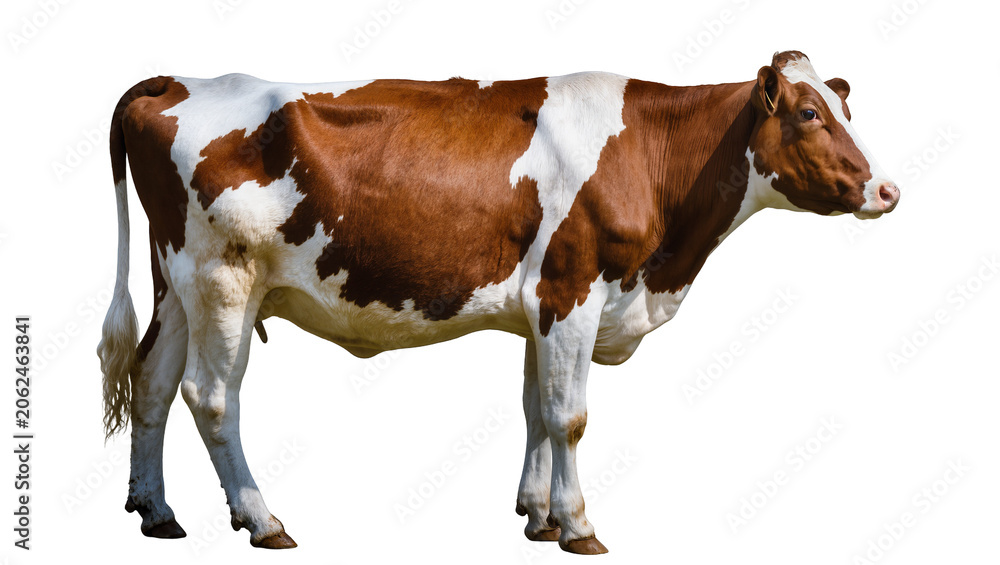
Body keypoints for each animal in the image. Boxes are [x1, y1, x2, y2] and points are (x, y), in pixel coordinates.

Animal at [98, 50, 899, 554]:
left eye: (842, 104)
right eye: (807, 113)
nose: (887, 189)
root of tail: (176, 81)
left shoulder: (543, 307)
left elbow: (537, 409)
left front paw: (537, 517)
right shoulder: (572, 289)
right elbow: (570, 416)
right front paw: (578, 526)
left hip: (177, 281)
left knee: (153, 381)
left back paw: (157, 511)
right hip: (224, 279)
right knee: (210, 395)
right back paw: (262, 518)